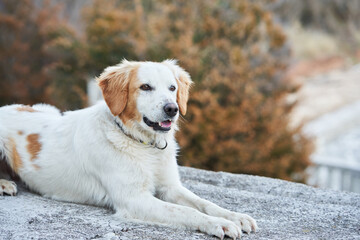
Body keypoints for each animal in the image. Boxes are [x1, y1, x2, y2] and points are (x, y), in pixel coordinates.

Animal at [1, 59, 258, 238]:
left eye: (172, 88)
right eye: (145, 87)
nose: (172, 109)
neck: (146, 146)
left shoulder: (170, 187)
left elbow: (204, 203)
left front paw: (235, 216)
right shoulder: (134, 199)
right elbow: (187, 212)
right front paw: (219, 224)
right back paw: (5, 184)